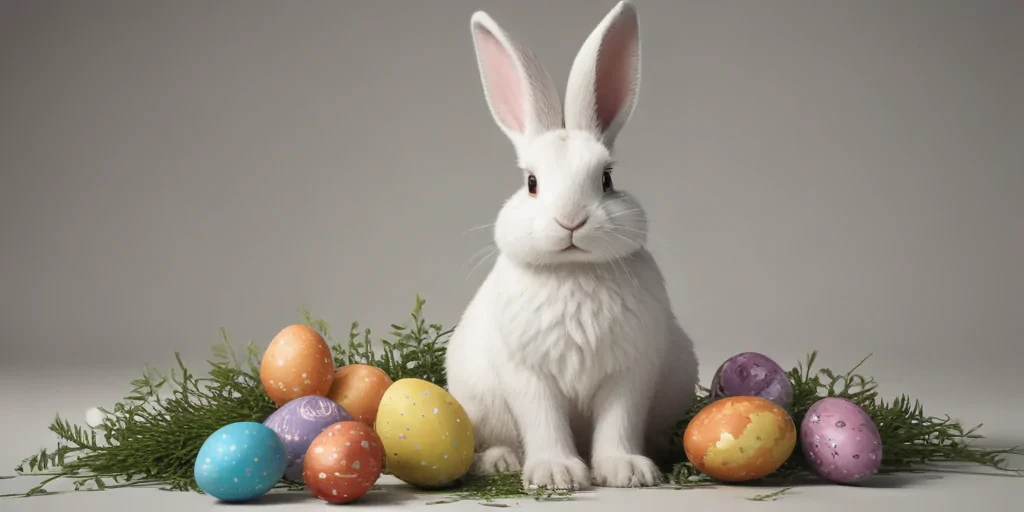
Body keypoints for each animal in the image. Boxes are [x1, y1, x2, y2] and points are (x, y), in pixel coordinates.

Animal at [444, 0, 700, 491]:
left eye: (607, 179)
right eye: (531, 183)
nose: (572, 220)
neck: (574, 271)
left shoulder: (630, 372)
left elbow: (619, 422)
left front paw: (626, 471)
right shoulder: (529, 374)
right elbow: (543, 421)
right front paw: (556, 474)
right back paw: (501, 463)